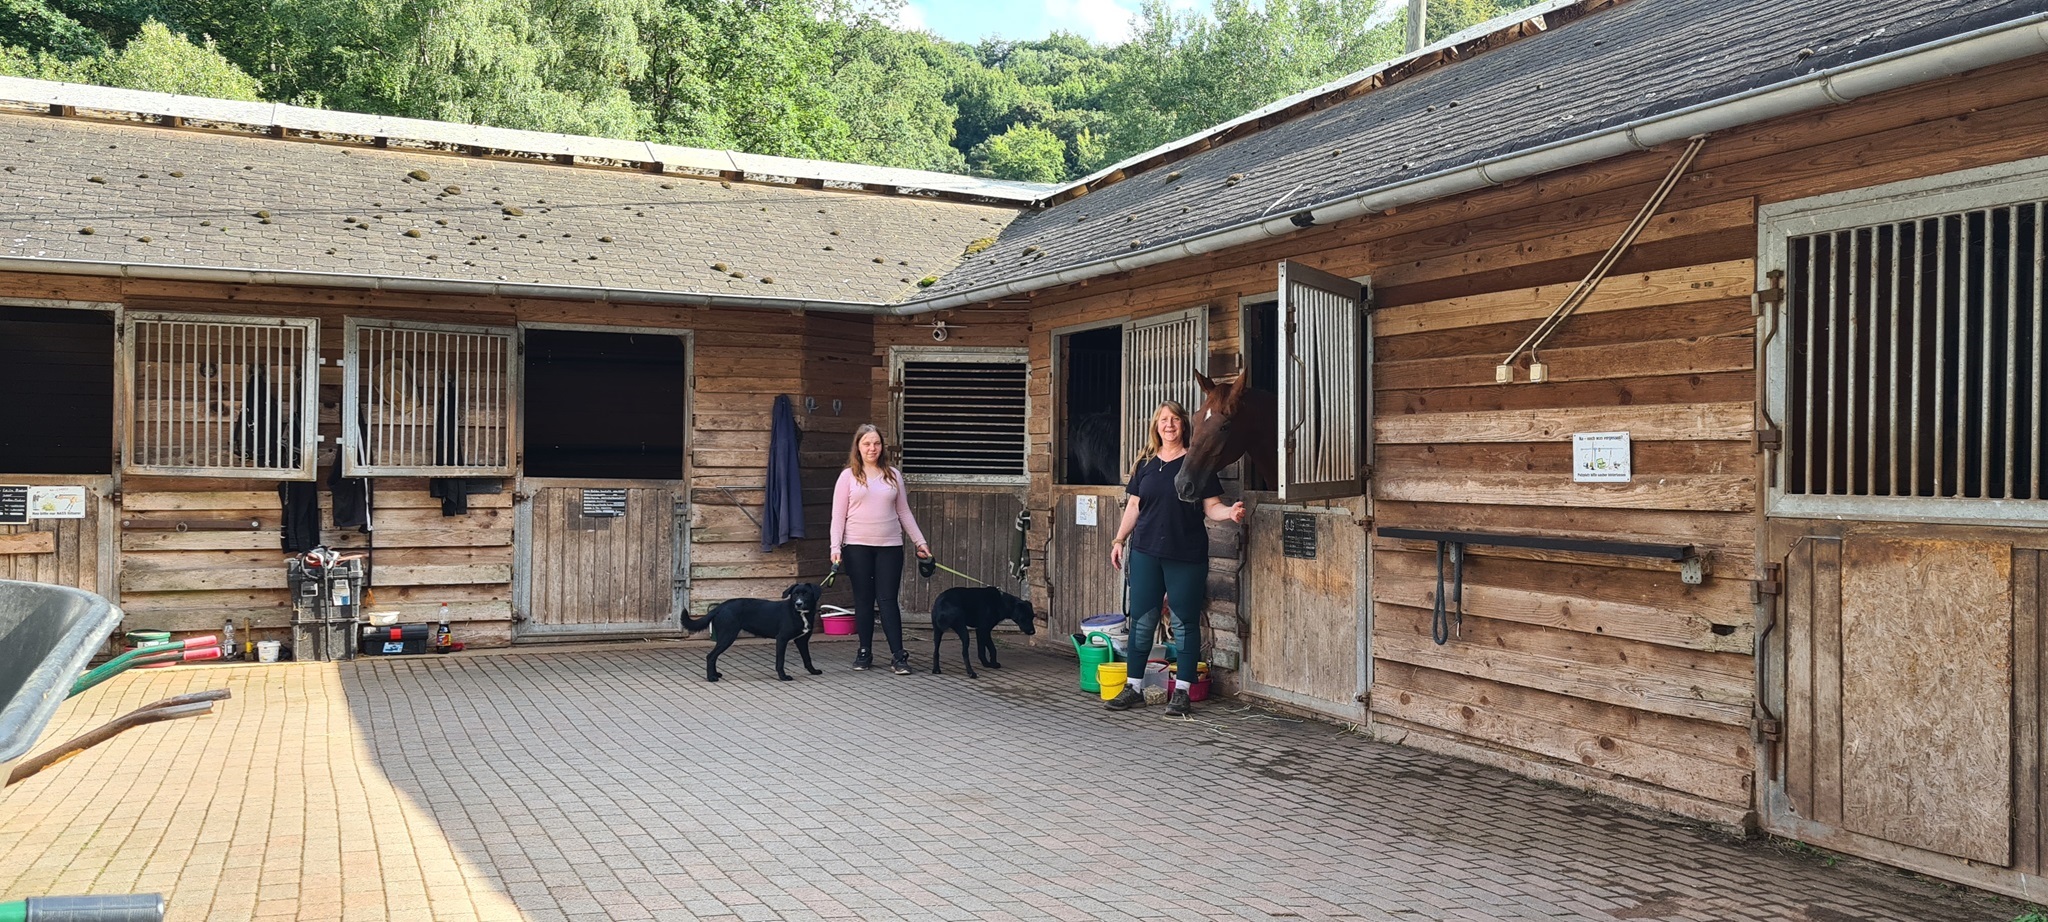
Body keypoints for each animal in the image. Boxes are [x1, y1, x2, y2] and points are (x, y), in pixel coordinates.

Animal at [679, 582, 824, 682]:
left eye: (806, 593)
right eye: (795, 594)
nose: (798, 603)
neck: (800, 614)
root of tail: (721, 607)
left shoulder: (802, 640)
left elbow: (807, 658)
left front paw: (813, 671)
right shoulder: (782, 639)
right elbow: (780, 661)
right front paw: (783, 677)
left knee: (713, 656)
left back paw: (715, 674)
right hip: (728, 636)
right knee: (710, 656)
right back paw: (711, 678)